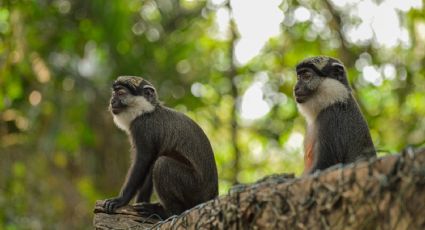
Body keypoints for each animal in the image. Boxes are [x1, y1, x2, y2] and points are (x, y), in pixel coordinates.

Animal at [103, 76, 219, 219]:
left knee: (162, 163)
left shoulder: (142, 127)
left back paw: (168, 212)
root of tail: (211, 196)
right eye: (113, 94)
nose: (112, 101)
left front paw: (120, 200)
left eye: (120, 93)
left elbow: (143, 161)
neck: (147, 111)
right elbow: (149, 165)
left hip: (194, 188)